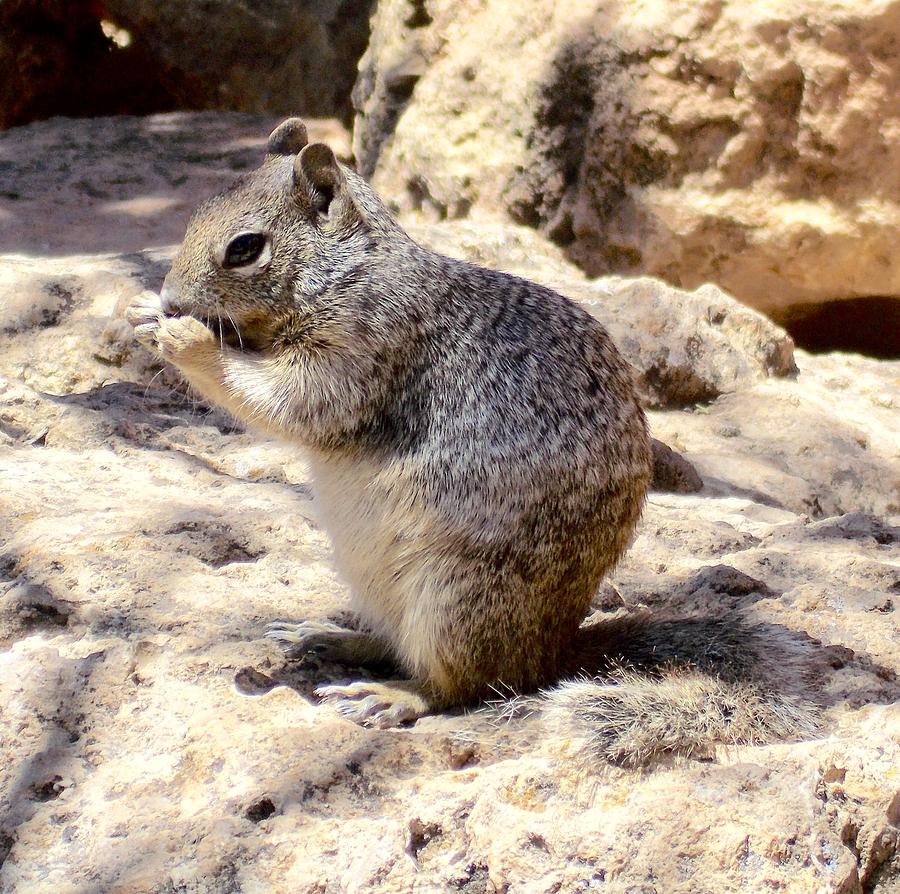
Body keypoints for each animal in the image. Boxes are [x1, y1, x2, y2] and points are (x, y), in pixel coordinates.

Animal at [126, 115, 824, 768]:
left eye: (245, 248)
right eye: (195, 215)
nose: (170, 297)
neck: (349, 273)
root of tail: (552, 650)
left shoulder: (362, 353)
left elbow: (288, 401)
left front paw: (183, 337)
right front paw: (140, 312)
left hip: (454, 598)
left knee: (458, 685)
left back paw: (390, 697)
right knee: (395, 645)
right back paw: (326, 637)